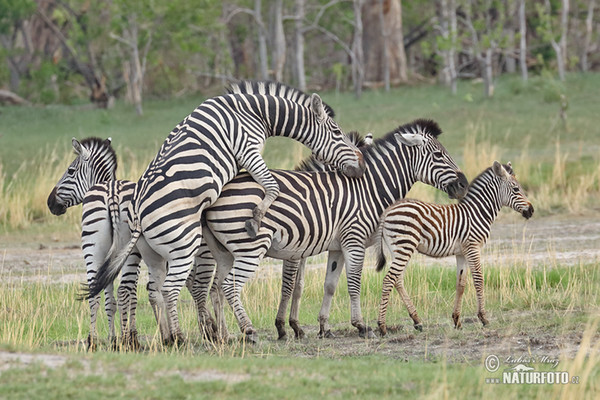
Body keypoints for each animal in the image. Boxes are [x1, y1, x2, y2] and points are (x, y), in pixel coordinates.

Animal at [84, 81, 366, 344]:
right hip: (184, 243)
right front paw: (256, 216)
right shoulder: (247, 149)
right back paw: (180, 337)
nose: (362, 165)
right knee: (170, 288)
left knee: (156, 288)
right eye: (337, 132)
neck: (254, 111)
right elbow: (271, 185)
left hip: (154, 253)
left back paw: (171, 337)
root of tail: (138, 216)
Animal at [197, 119, 468, 340]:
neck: (369, 188)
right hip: (250, 248)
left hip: (224, 251)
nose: (464, 184)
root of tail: (217, 193)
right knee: (229, 286)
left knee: (216, 288)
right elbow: (352, 282)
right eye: (438, 154)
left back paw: (224, 336)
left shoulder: (337, 246)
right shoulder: (353, 240)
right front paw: (361, 326)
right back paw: (248, 331)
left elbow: (330, 285)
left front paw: (323, 327)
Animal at [376, 159, 536, 334]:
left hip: (398, 249)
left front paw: (457, 320)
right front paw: (483, 318)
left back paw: (417, 321)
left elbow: (461, 284)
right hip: (404, 246)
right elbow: (479, 279)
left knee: (397, 280)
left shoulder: (462, 252)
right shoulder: (473, 247)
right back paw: (382, 326)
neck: (477, 212)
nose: (531, 210)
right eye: (516, 189)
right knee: (388, 280)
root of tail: (388, 210)